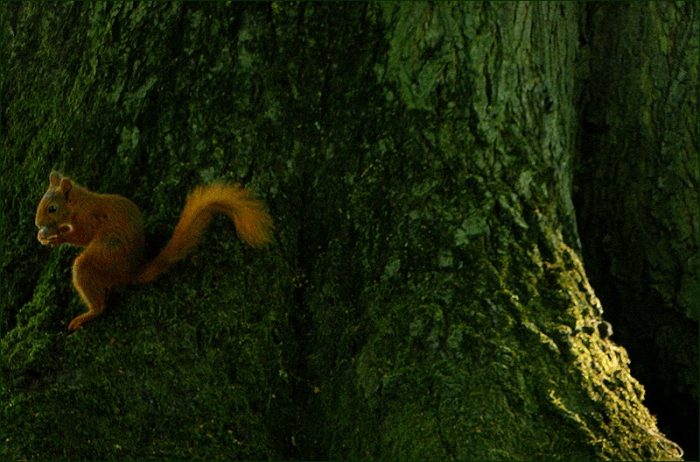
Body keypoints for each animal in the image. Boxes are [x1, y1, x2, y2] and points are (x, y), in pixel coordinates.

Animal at [35, 171, 273, 332]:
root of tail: (129, 273)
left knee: (98, 300)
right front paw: (45, 237)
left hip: (101, 259)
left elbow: (83, 236)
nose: (37, 224)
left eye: (52, 208)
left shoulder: (89, 218)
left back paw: (86, 315)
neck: (81, 202)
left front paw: (58, 236)